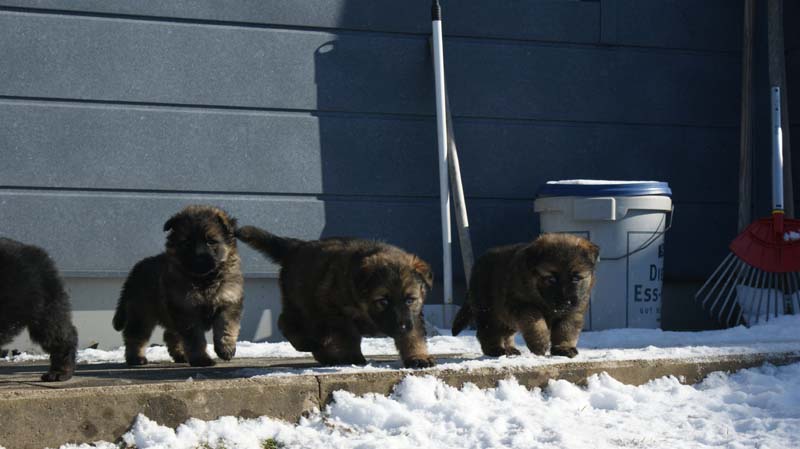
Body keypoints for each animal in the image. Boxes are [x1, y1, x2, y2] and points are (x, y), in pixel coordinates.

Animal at [112, 205, 244, 367]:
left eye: (211, 241)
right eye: (186, 243)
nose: (199, 259)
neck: (204, 280)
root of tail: (134, 272)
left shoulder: (228, 302)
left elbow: (225, 327)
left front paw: (226, 349)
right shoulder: (186, 310)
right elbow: (195, 339)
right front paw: (201, 359)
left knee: (169, 335)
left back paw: (181, 355)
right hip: (141, 313)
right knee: (135, 336)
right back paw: (136, 358)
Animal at [236, 225, 436, 368]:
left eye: (410, 300)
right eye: (383, 301)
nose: (402, 327)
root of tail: (297, 246)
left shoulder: (413, 316)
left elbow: (414, 336)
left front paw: (418, 357)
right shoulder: (336, 312)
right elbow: (349, 336)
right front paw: (353, 357)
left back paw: (326, 355)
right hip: (305, 308)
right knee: (285, 322)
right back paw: (308, 344)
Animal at [452, 233, 599, 358]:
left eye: (576, 278)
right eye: (551, 279)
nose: (565, 302)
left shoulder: (574, 310)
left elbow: (566, 329)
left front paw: (563, 348)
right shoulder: (520, 304)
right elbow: (534, 318)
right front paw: (540, 342)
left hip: (505, 319)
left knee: (505, 332)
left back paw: (510, 348)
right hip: (487, 308)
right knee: (488, 331)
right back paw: (495, 349)